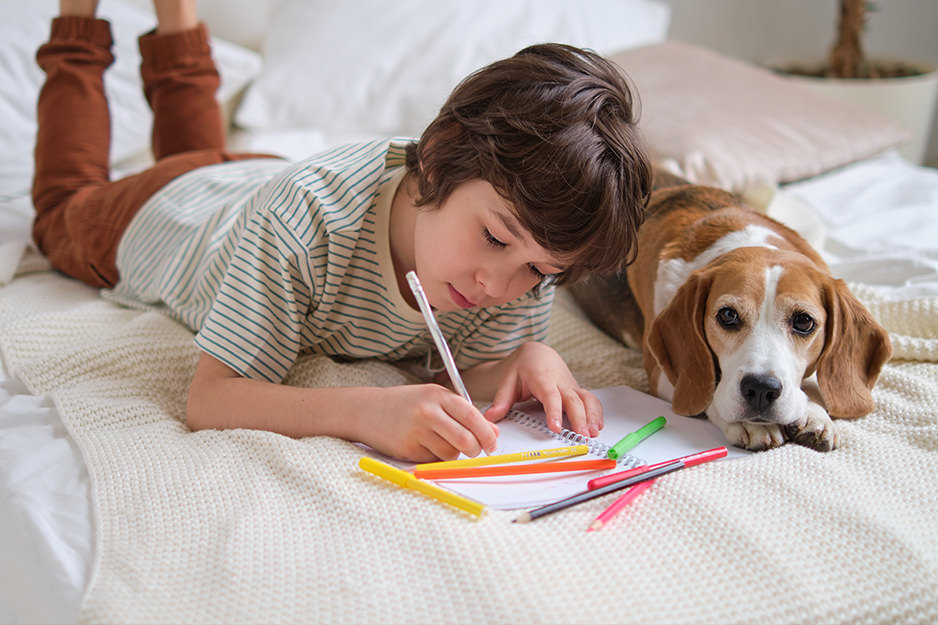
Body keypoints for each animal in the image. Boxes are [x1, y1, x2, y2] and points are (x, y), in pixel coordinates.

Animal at [572, 183, 892, 450]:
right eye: (727, 315)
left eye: (803, 322)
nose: (761, 390)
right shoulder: (660, 373)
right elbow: (709, 388)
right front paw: (749, 423)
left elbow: (813, 381)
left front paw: (814, 413)